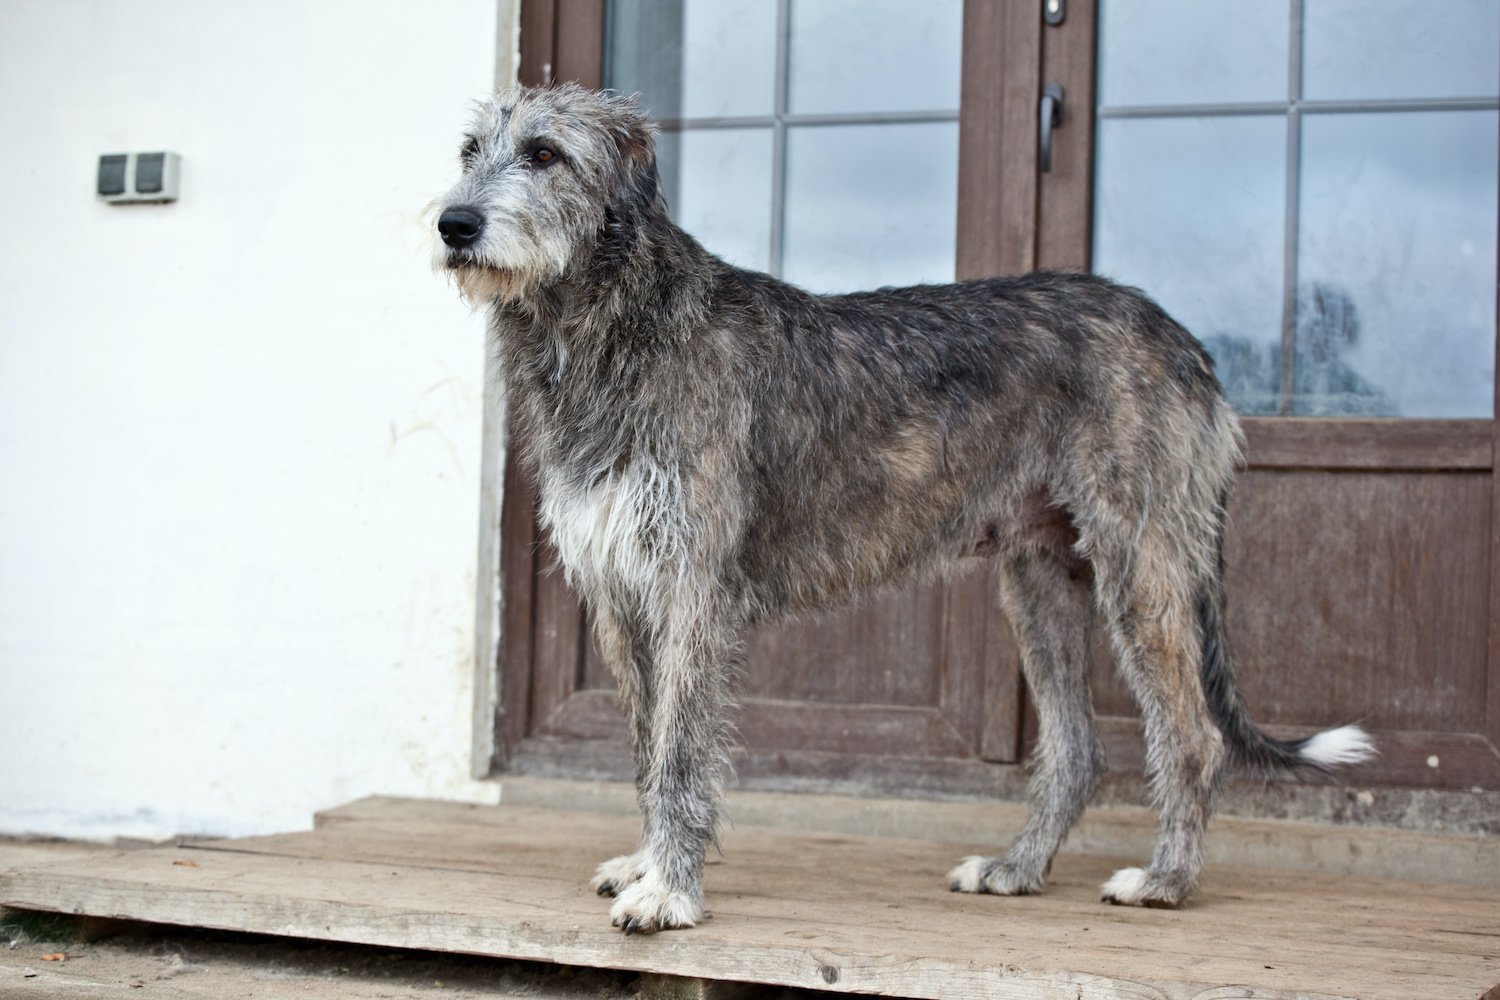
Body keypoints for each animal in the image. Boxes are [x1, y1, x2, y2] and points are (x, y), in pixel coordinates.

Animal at [432, 82, 1374, 935]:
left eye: (545, 153)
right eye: (469, 150)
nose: (454, 225)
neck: (611, 326)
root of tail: (1184, 341)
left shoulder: (693, 591)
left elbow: (680, 751)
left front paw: (669, 891)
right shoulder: (622, 595)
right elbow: (642, 742)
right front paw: (645, 863)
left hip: (1140, 565)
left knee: (1193, 737)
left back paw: (1166, 881)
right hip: (1040, 582)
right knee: (1078, 749)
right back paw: (1017, 868)